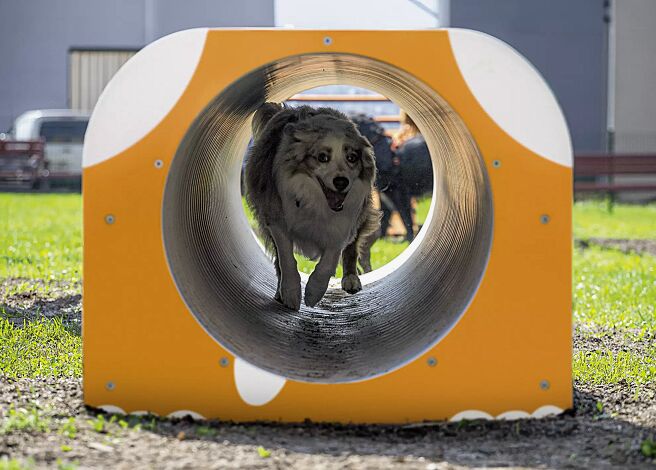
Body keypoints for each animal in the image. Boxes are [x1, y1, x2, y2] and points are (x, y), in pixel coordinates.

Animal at [245, 102, 380, 308]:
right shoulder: (275, 214)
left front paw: (313, 292)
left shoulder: (345, 220)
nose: (341, 182)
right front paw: (290, 293)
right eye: (322, 157)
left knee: (352, 247)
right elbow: (285, 257)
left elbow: (330, 259)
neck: (317, 200)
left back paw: (351, 279)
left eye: (352, 157)